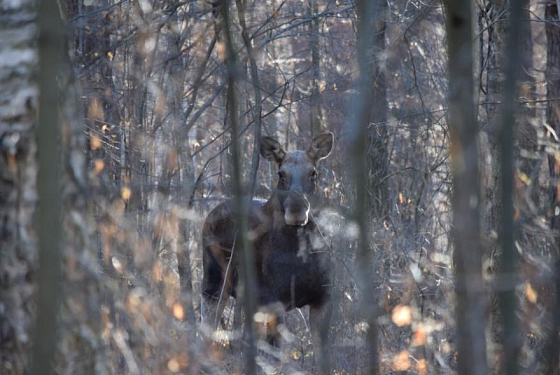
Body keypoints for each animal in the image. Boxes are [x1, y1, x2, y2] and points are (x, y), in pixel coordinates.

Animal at [201, 131, 332, 370]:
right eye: (281, 174)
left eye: (313, 173)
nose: (297, 210)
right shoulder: (274, 301)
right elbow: (276, 357)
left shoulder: (323, 298)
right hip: (214, 283)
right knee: (207, 324)